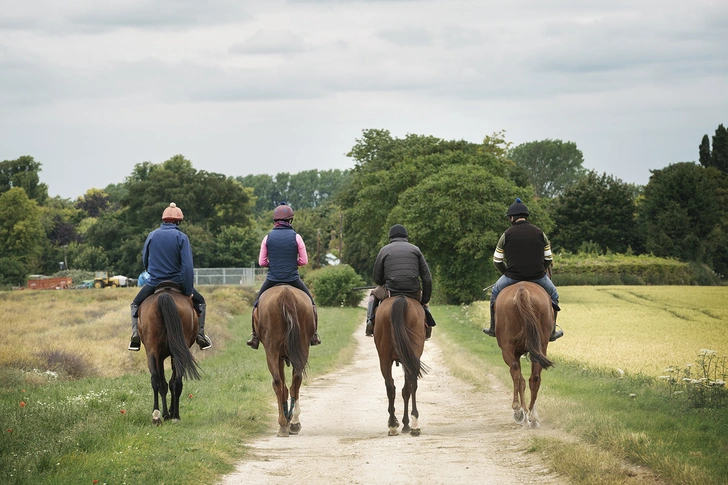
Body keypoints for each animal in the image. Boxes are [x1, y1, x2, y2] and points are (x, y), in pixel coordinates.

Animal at [135, 282, 199, 426]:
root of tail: (164, 295)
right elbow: (167, 383)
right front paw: (168, 413)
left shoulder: (160, 356)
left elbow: (164, 384)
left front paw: (166, 413)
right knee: (175, 381)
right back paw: (174, 416)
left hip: (153, 351)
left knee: (156, 380)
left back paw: (157, 415)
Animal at [253, 282, 316, 436]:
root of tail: (285, 293)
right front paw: (290, 418)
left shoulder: (278, 356)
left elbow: (282, 385)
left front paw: (287, 418)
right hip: (302, 347)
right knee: (295, 380)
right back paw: (292, 423)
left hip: (272, 350)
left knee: (278, 382)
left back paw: (284, 423)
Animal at [372, 294, 430, 434]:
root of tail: (400, 299)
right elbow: (406, 390)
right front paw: (406, 423)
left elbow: (403, 390)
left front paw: (402, 423)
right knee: (410, 383)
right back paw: (413, 424)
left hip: (385, 358)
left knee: (390, 386)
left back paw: (394, 424)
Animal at [498, 280, 556, 428]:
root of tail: (522, 290)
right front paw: (528, 415)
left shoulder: (515, 352)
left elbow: (520, 380)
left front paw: (523, 413)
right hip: (540, 347)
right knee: (534, 378)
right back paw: (531, 416)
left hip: (508, 348)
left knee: (517, 374)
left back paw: (519, 410)